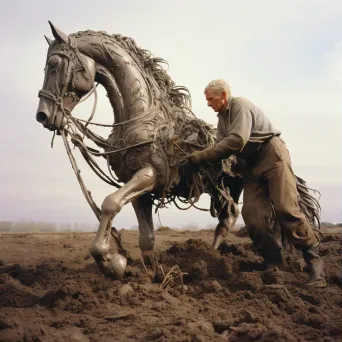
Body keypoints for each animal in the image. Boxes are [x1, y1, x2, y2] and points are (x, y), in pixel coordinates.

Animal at [35, 21, 320, 280]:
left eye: (55, 65)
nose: (43, 115)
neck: (141, 117)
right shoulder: (136, 186)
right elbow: (146, 237)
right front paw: (150, 274)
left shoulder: (151, 175)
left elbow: (109, 204)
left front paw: (110, 261)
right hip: (230, 188)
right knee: (231, 217)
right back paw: (215, 256)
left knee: (260, 216)